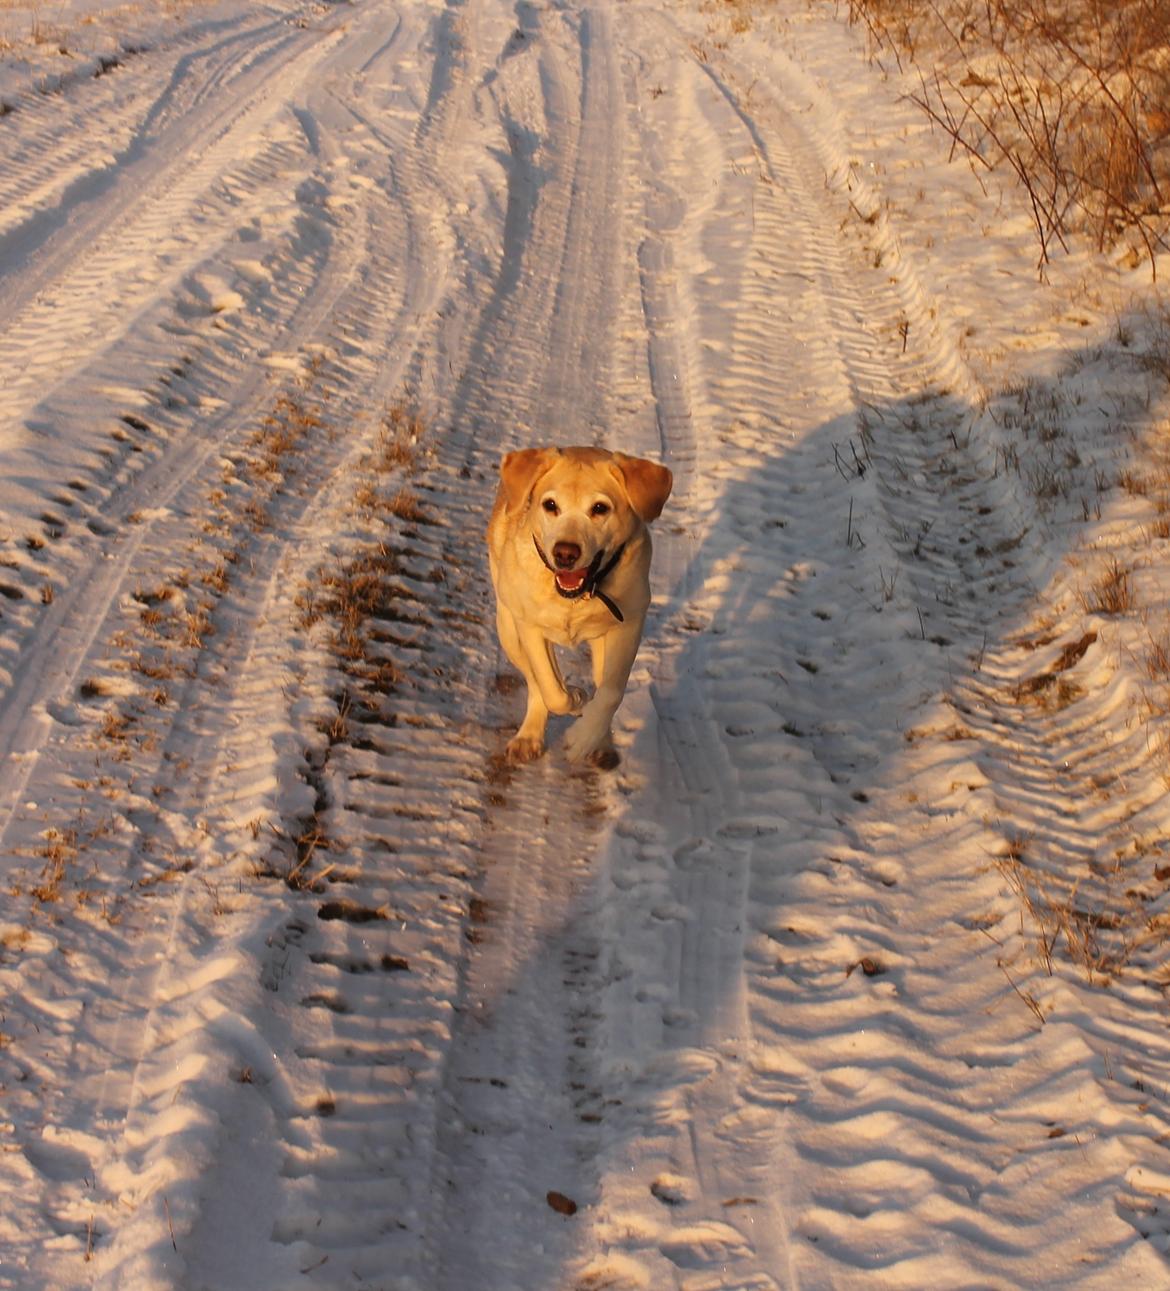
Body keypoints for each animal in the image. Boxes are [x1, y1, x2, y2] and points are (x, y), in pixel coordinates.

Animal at [485, 444, 671, 764]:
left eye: (600, 508)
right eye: (550, 505)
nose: (565, 553)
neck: (576, 596)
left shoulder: (629, 624)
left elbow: (611, 692)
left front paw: (582, 738)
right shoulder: (529, 627)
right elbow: (550, 687)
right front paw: (573, 698)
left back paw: (599, 743)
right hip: (508, 630)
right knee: (535, 682)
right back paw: (530, 736)